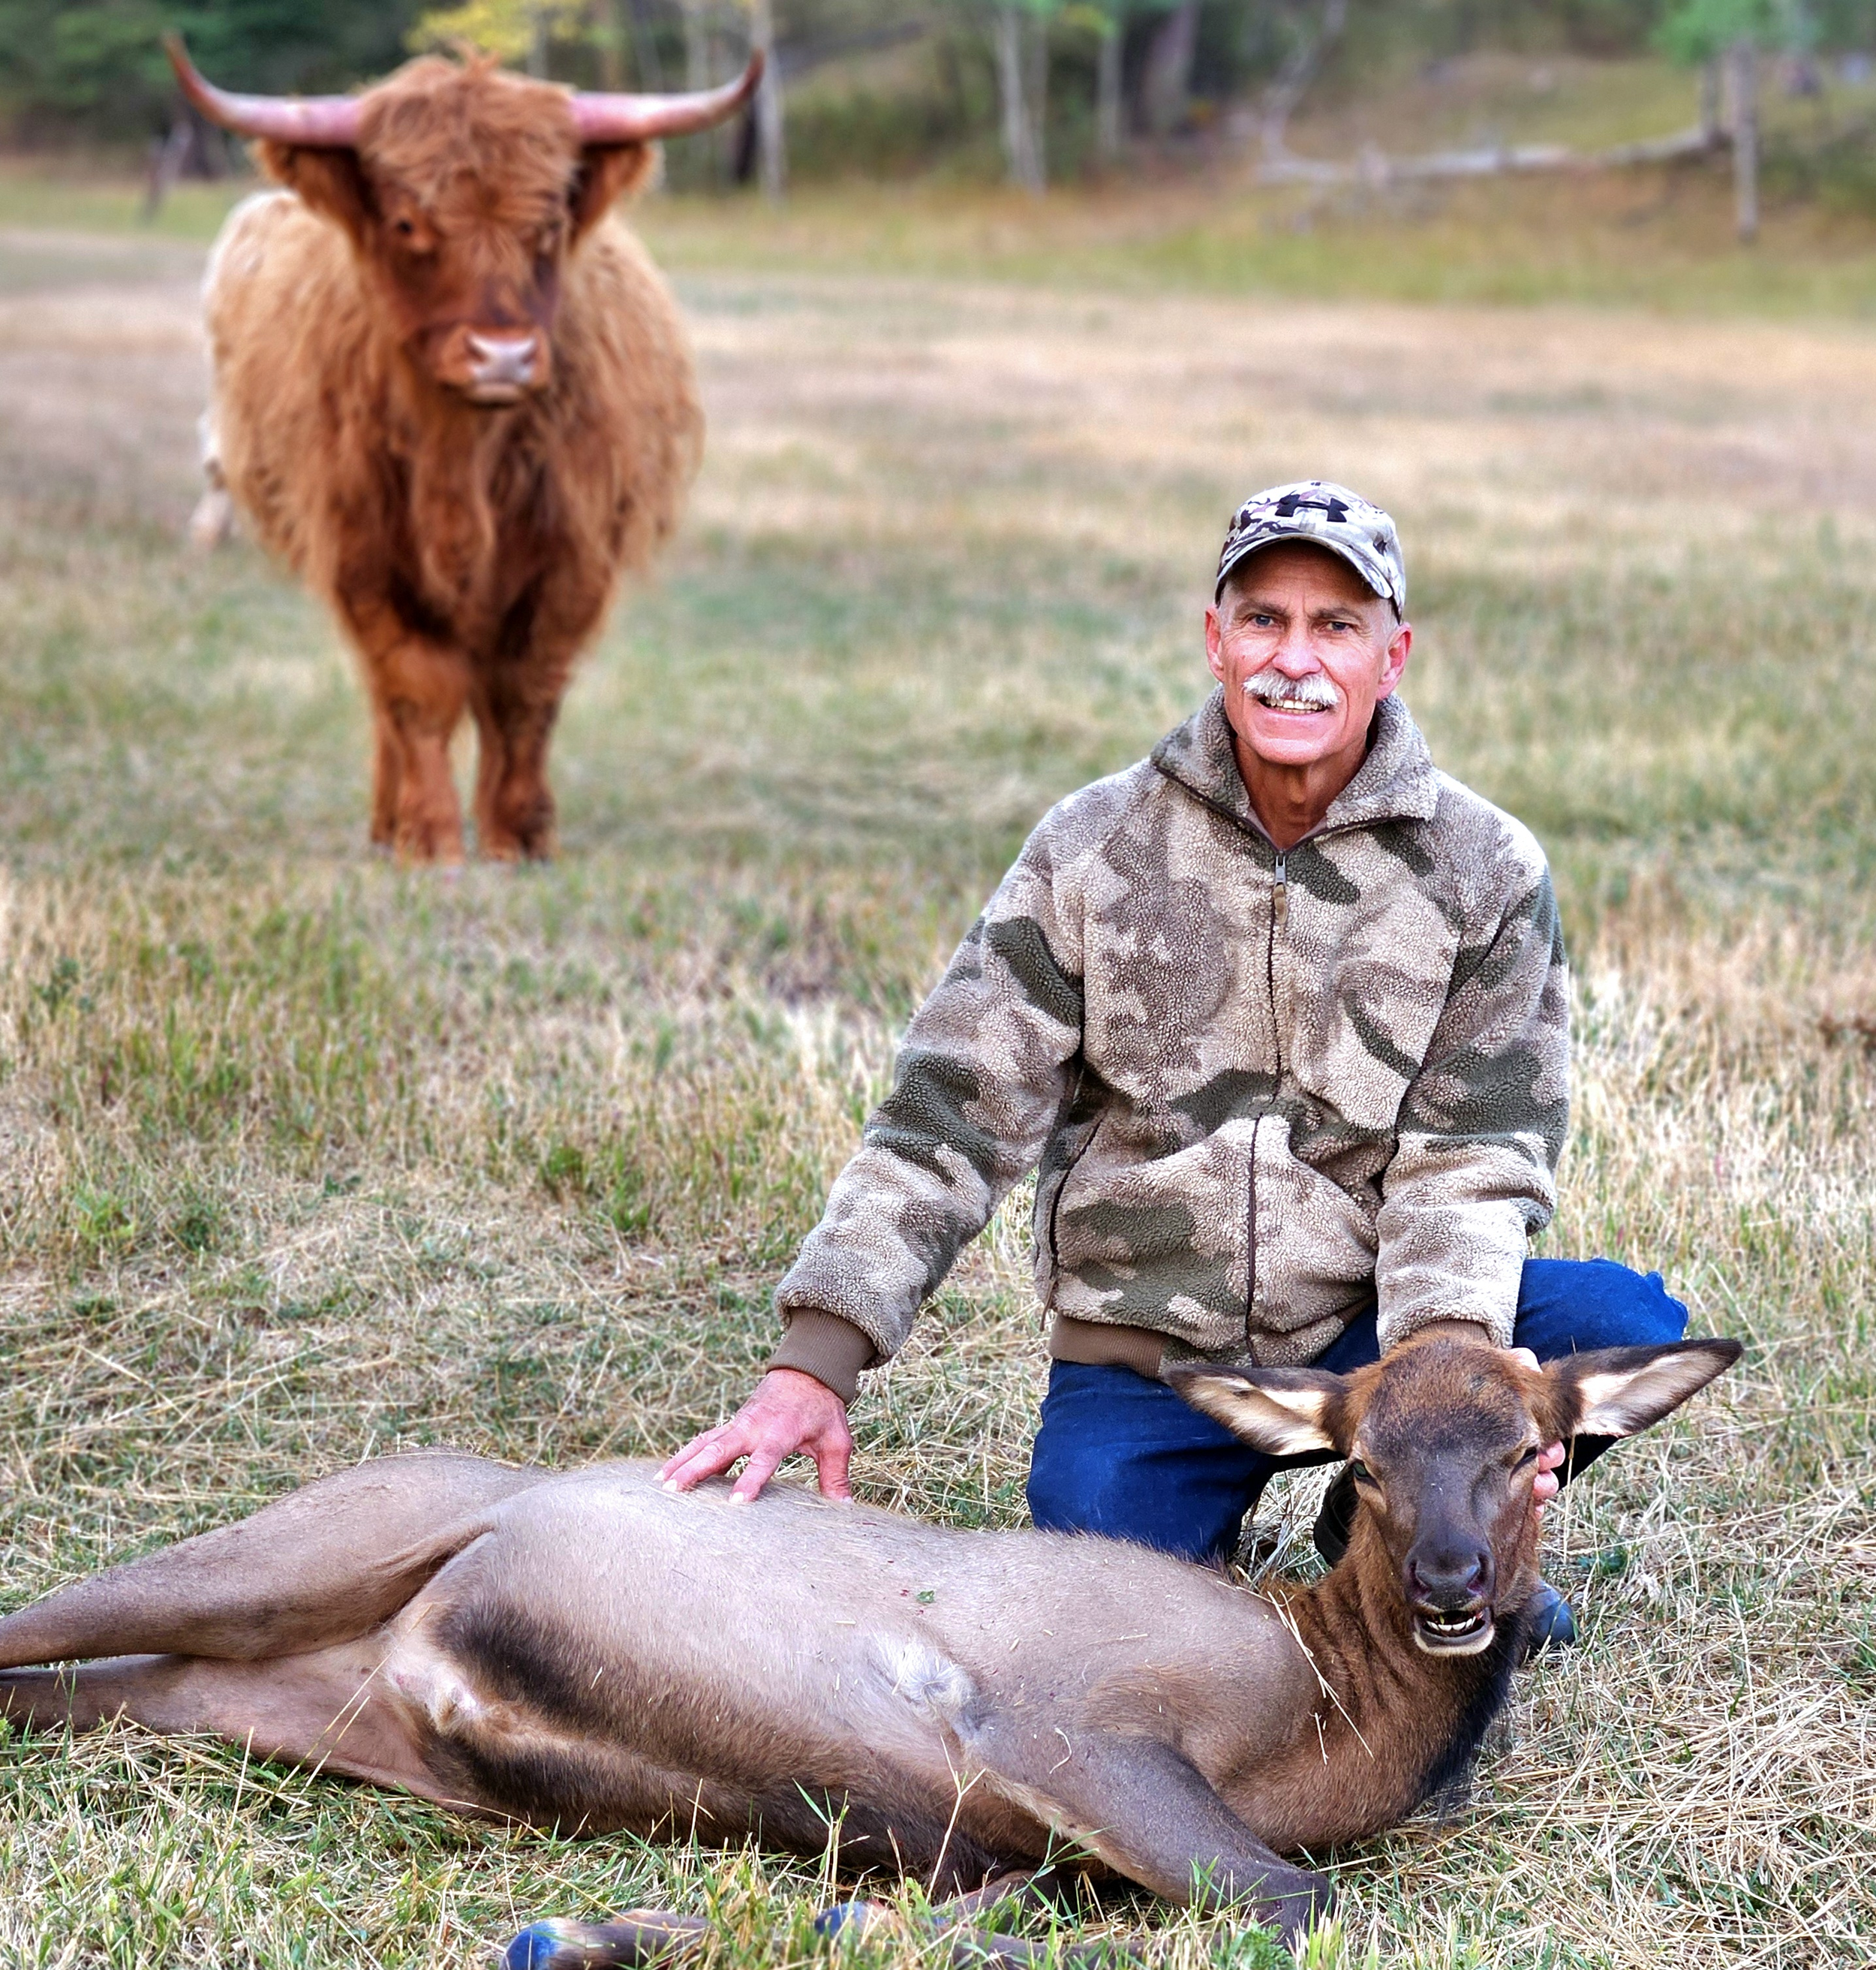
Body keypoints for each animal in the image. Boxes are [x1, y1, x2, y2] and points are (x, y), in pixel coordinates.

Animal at [0, 1333, 1738, 1954]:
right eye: (1360, 1464)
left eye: (1529, 1452)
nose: (1452, 1585)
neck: (1319, 1715)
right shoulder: (1059, 1716)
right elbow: (1290, 1902)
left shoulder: (1017, 1842)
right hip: (317, 1542)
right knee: (46, 1616)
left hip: (291, 1697)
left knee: (90, 1687)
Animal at [173, 39, 759, 861]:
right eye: (407, 221)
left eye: (548, 221)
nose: (502, 355)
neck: (464, 464)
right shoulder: (363, 555)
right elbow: (416, 690)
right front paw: (429, 837)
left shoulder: (573, 558)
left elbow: (524, 694)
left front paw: (520, 835)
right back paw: (385, 824)